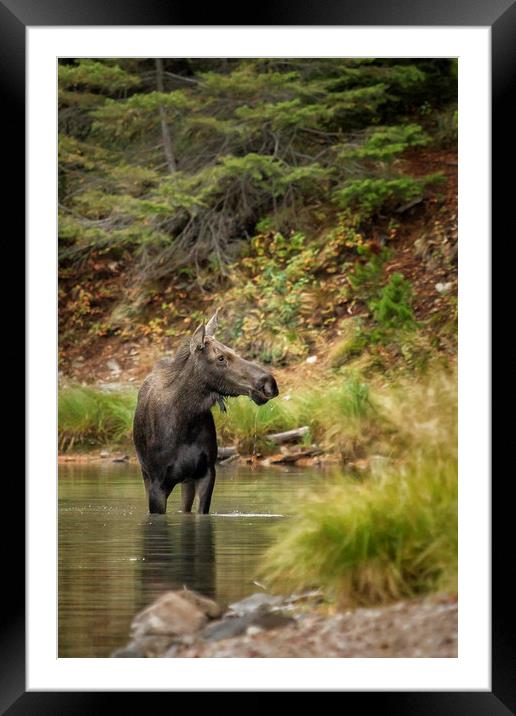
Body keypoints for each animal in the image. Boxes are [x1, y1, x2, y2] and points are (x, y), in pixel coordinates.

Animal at [133, 310, 278, 516]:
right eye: (221, 358)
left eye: (232, 351)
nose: (269, 383)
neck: (184, 423)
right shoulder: (156, 482)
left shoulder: (206, 472)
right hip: (147, 474)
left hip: (186, 480)